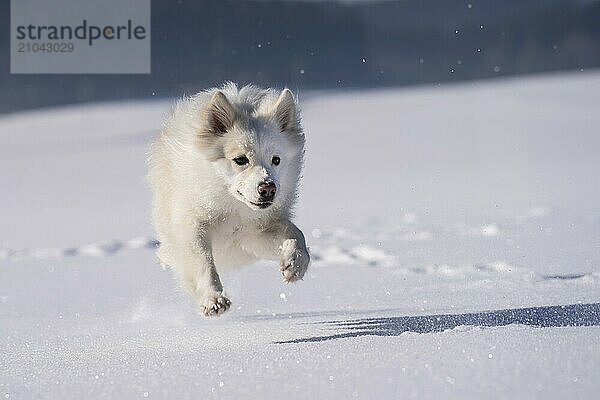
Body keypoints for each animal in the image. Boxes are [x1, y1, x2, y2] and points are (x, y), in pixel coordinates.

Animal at [149, 83, 310, 316]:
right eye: (240, 160)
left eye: (276, 160)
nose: (268, 188)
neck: (232, 208)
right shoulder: (192, 227)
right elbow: (203, 261)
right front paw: (213, 299)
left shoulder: (252, 235)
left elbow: (295, 232)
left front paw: (294, 264)